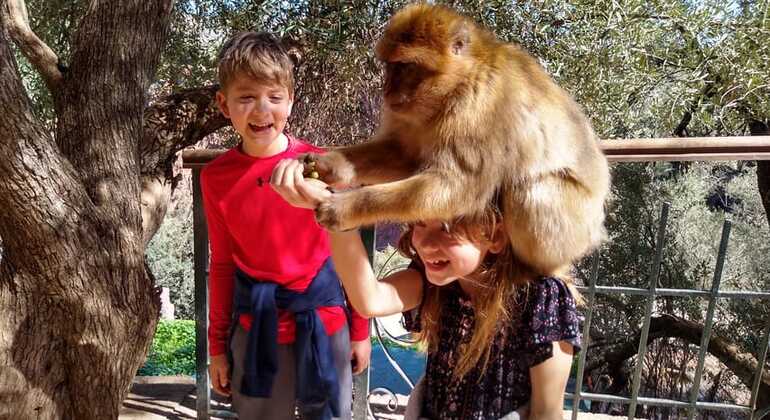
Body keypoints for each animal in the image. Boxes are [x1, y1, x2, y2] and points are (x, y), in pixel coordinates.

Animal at [304, 4, 608, 276]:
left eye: (405, 66)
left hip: (572, 229)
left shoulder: (478, 111)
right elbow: (402, 153)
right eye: (390, 66)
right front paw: (331, 164)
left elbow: (458, 185)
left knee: (527, 191)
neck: (456, 85)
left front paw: (347, 207)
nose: (386, 90)